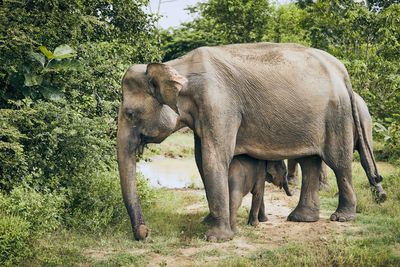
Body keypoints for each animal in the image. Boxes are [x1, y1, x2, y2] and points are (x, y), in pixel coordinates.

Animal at [115, 42, 384, 243]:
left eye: (130, 114)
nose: (145, 233)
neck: (174, 66)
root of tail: (342, 71)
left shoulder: (219, 105)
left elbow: (214, 158)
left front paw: (216, 237)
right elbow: (201, 159)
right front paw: (209, 222)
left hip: (337, 115)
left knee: (339, 162)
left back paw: (341, 218)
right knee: (310, 161)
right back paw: (301, 218)